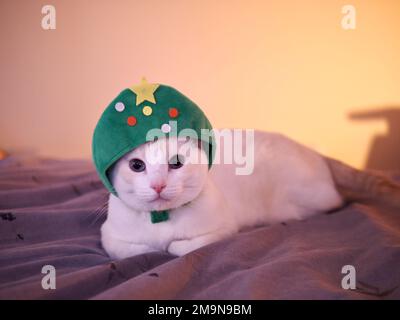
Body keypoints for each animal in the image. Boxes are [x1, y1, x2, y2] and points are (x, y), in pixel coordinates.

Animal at [101, 129, 400, 258]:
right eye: (137, 166)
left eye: (175, 163)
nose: (158, 185)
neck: (162, 219)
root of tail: (310, 149)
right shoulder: (109, 237)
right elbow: (135, 251)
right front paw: (154, 247)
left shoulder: (223, 230)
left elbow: (177, 247)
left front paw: (168, 246)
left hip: (305, 201)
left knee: (340, 199)